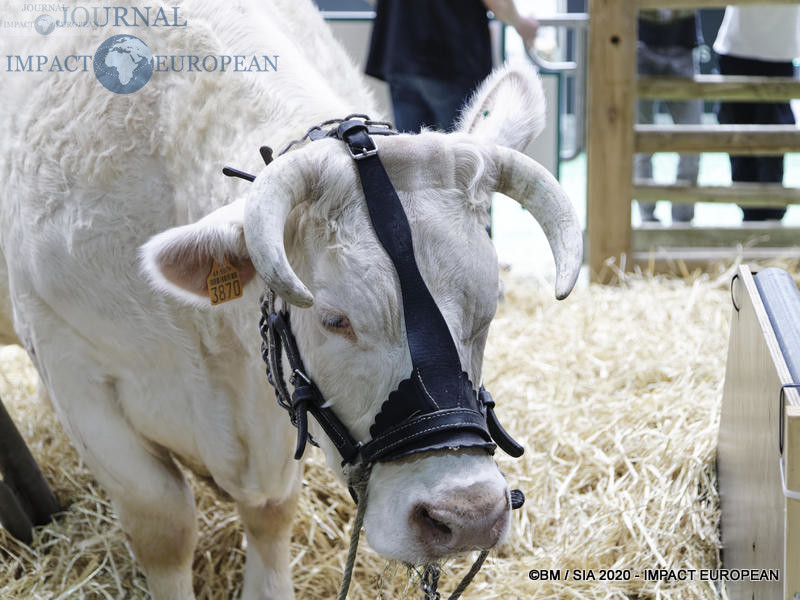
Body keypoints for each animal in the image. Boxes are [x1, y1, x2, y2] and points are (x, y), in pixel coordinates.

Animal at [1, 2, 580, 596]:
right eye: (334, 319)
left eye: (489, 310)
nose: (468, 514)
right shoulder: (76, 374)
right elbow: (165, 523)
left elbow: (272, 510)